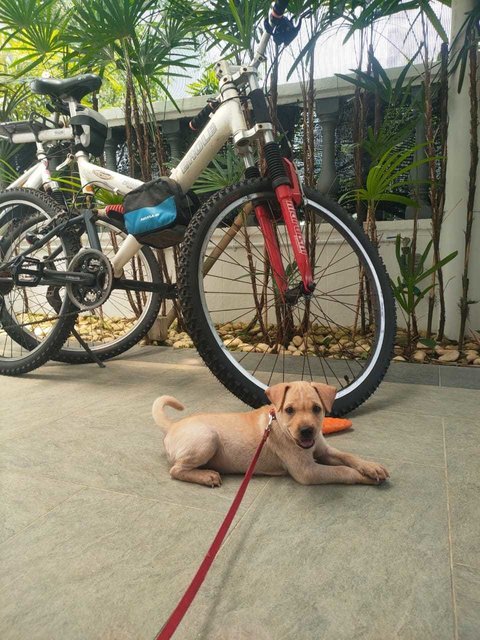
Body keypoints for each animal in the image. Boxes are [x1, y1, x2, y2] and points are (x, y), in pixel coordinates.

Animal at [153, 380, 390, 490]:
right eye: (289, 410)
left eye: (317, 409)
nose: (307, 431)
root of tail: (172, 426)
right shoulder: (307, 471)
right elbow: (342, 471)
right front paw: (364, 477)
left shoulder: (324, 450)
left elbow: (347, 456)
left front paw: (371, 467)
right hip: (207, 439)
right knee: (176, 470)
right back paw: (206, 476)